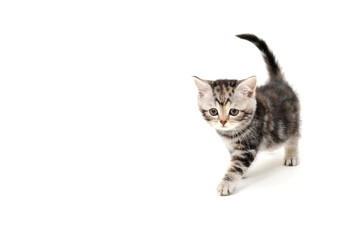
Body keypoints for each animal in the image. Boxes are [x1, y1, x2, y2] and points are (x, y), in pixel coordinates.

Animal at [193, 33, 300, 195]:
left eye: (233, 111)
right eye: (213, 111)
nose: (222, 122)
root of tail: (278, 82)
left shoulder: (247, 147)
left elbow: (236, 166)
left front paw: (226, 183)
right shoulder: (232, 147)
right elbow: (234, 161)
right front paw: (241, 173)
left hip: (292, 120)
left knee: (294, 136)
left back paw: (291, 155)